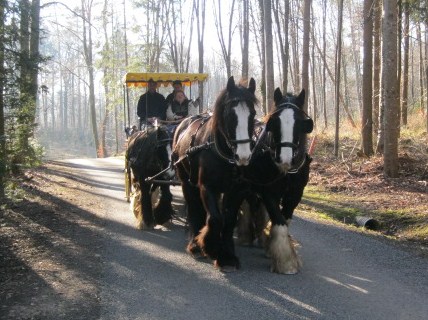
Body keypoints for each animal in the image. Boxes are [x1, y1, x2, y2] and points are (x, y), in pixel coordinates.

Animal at [171, 77, 258, 270]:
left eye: (253, 114)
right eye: (230, 115)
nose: (243, 156)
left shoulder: (237, 190)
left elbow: (229, 220)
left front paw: (227, 255)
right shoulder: (207, 187)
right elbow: (216, 219)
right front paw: (210, 247)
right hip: (186, 182)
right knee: (194, 208)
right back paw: (194, 244)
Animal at [241, 88, 314, 276]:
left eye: (300, 124)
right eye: (275, 122)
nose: (285, 159)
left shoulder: (295, 195)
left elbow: (283, 219)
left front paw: (271, 249)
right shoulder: (268, 193)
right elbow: (279, 221)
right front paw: (286, 263)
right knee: (250, 207)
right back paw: (247, 235)